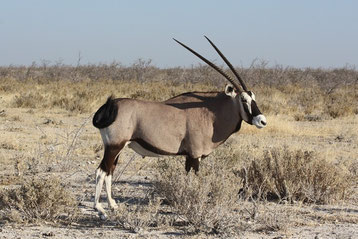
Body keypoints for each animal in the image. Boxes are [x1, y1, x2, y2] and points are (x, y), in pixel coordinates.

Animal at [92, 36, 266, 218]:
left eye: (253, 97)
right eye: (243, 100)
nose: (262, 120)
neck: (210, 113)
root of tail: (110, 106)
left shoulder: (188, 156)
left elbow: (187, 178)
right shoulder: (195, 155)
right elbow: (195, 179)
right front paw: (194, 204)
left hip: (118, 147)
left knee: (109, 171)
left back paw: (113, 205)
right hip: (114, 146)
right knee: (101, 171)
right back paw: (100, 208)